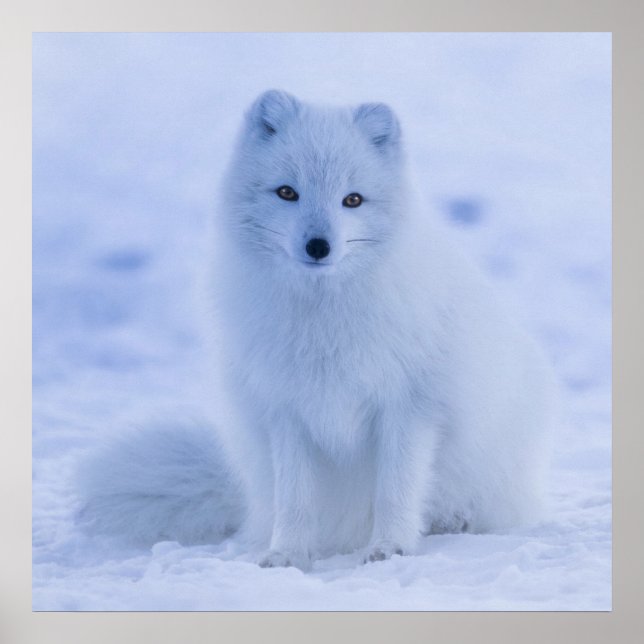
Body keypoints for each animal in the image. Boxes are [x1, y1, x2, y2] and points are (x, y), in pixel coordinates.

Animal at [78, 90, 555, 571]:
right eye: (287, 192)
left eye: (353, 200)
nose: (318, 246)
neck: (323, 320)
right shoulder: (286, 411)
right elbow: (295, 500)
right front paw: (286, 554)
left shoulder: (409, 408)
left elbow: (396, 490)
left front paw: (390, 548)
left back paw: (453, 521)